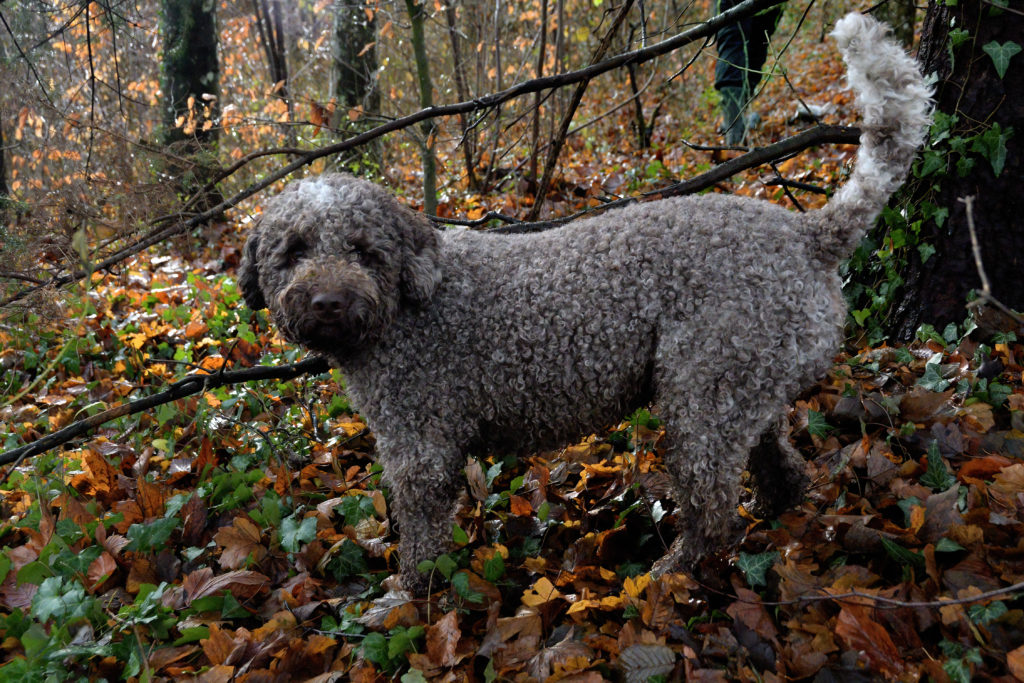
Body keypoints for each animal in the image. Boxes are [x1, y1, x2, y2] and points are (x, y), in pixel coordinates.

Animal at [241, 14, 937, 593]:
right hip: (744, 384)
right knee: (780, 465)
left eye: (365, 251)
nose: (328, 302)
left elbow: (421, 536)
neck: (408, 304)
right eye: (293, 250)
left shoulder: (420, 445)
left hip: (702, 394)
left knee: (714, 511)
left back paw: (670, 573)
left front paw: (408, 596)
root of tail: (806, 232)